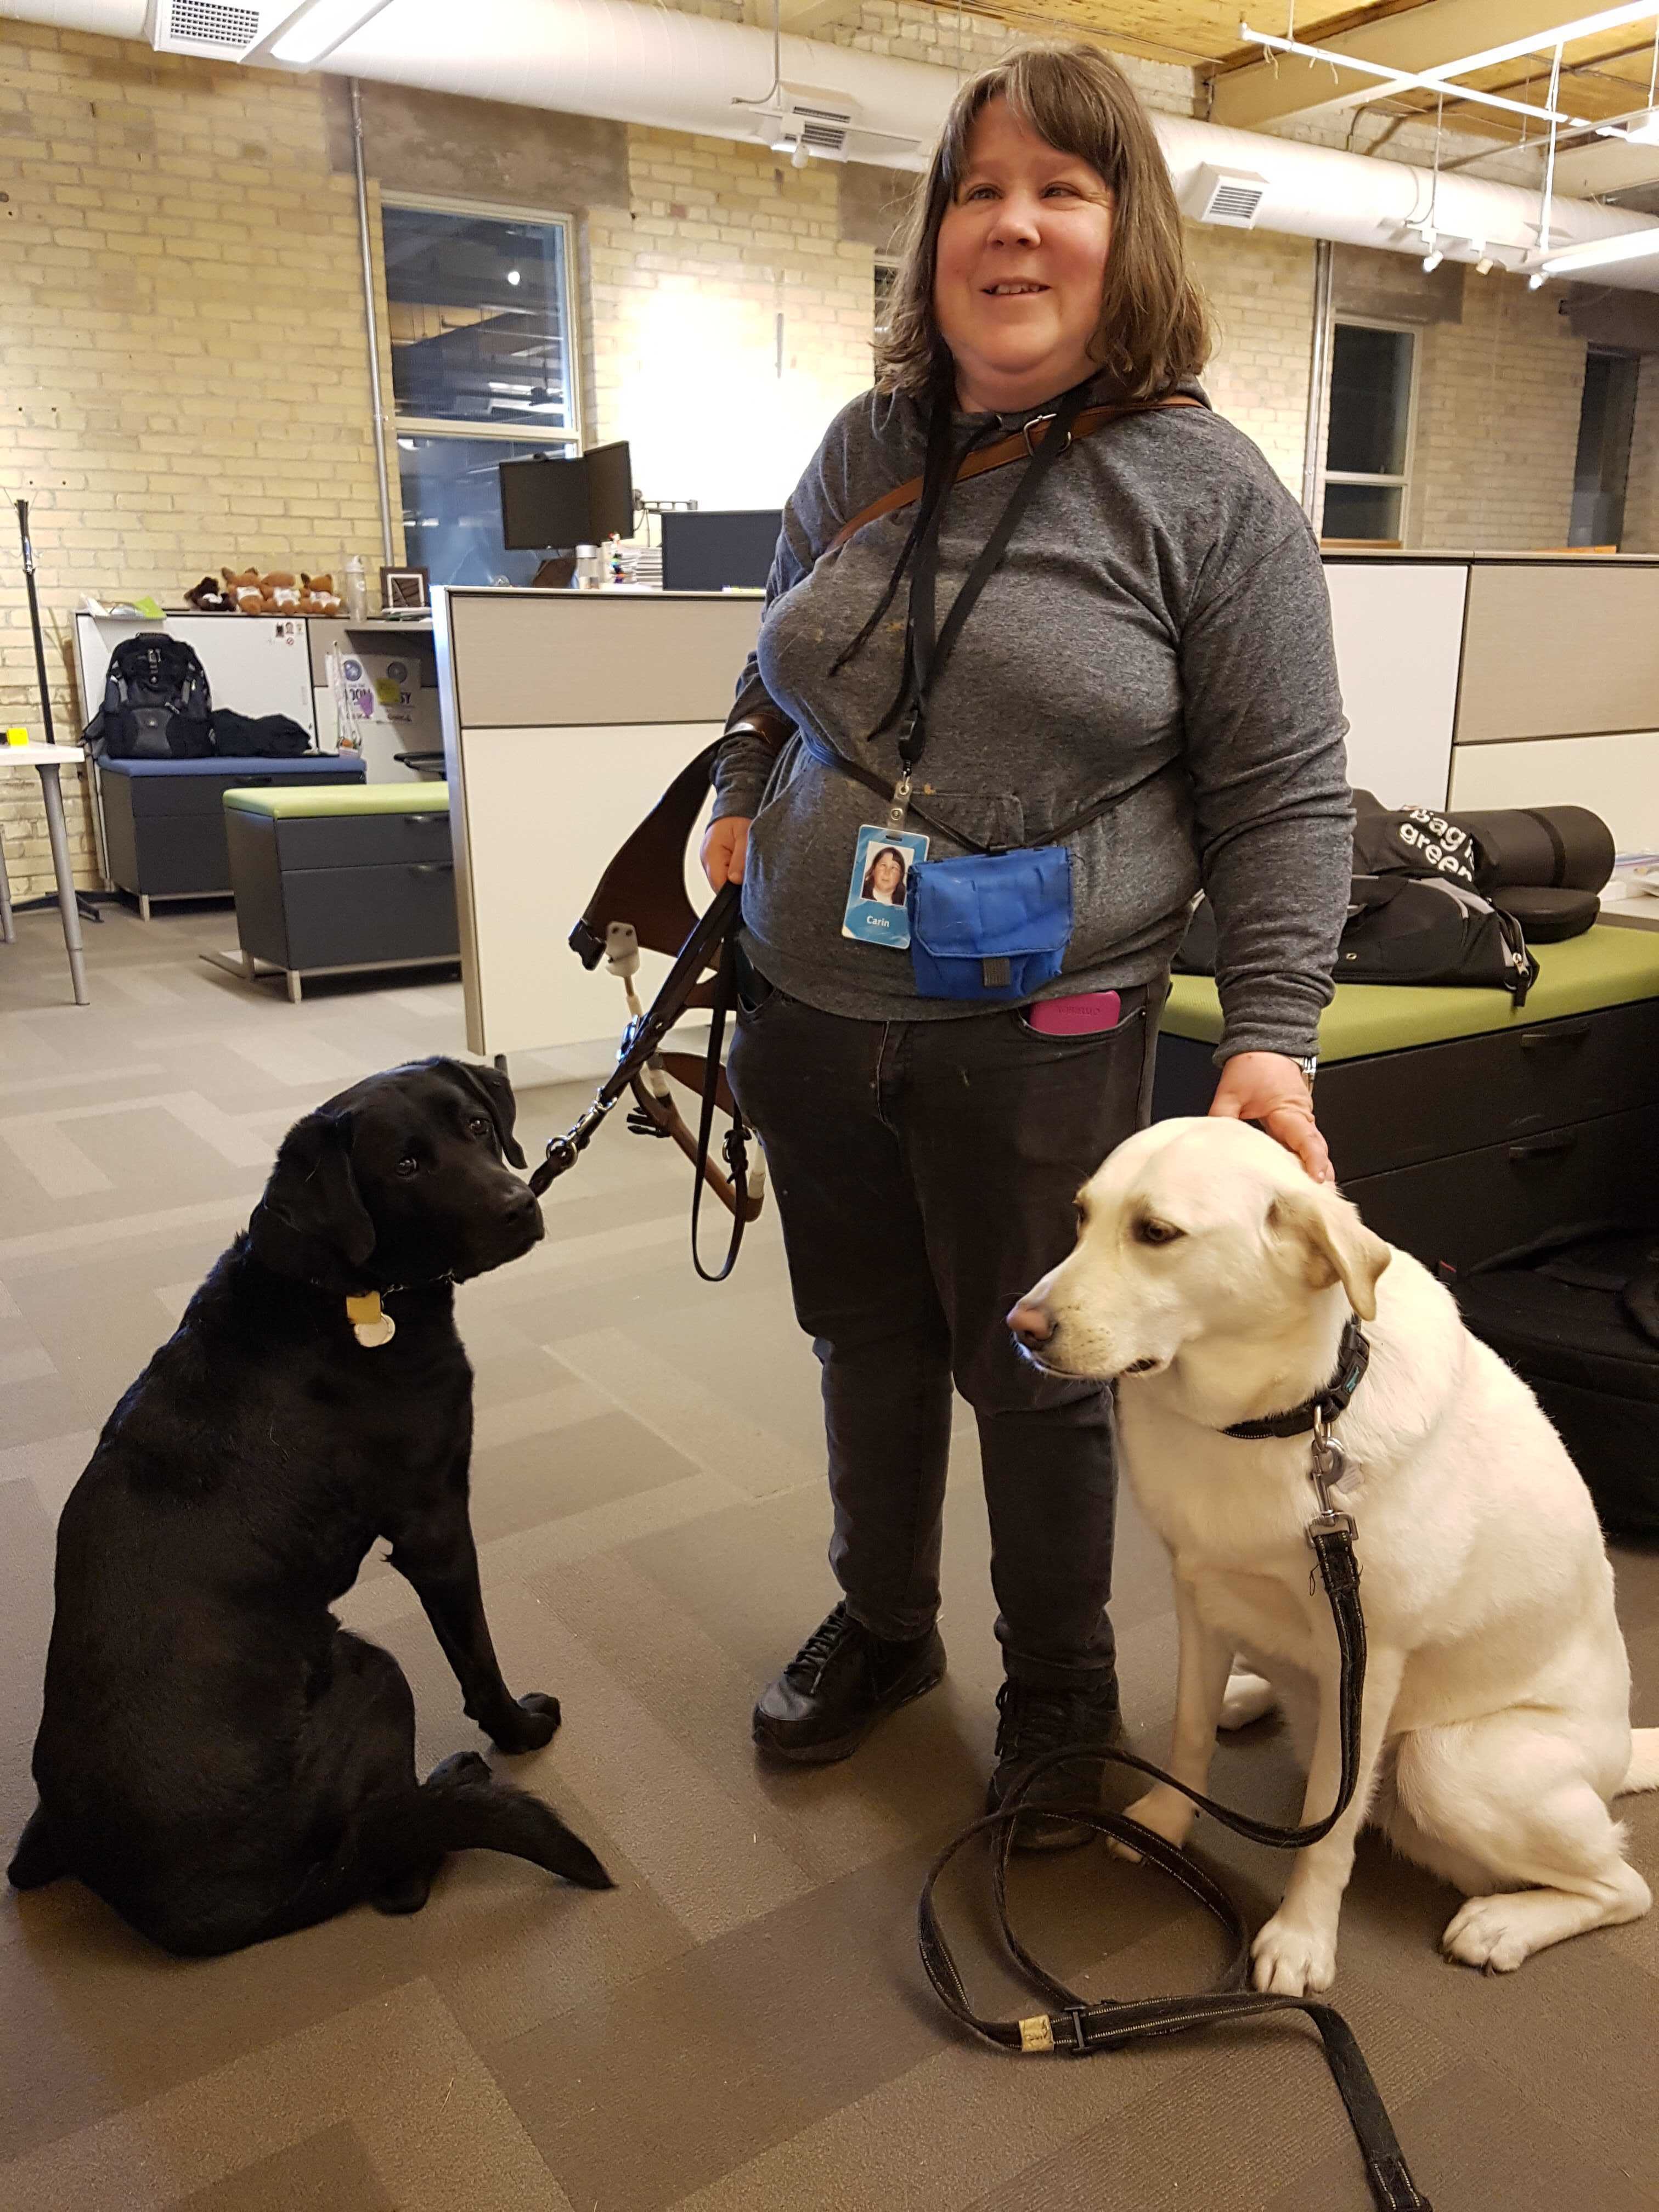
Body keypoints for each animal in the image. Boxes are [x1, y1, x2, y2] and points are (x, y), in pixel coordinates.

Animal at [7, 1057, 611, 1957]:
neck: (341, 1291)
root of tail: (194, 1913)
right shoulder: (436, 1524)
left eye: (475, 1126)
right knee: (393, 1877)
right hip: (373, 1671)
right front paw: (517, 1731)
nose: (518, 1204)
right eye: (405, 1166)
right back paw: (454, 1779)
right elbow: (477, 1658)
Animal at [1009, 1116, 1658, 1995]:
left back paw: (1503, 1924)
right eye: (1080, 1217)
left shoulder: (1369, 1664)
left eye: (1156, 1233)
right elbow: (1188, 1731)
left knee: (1623, 1886)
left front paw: (1302, 1938)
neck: (1280, 1421)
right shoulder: (1197, 1589)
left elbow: (1331, 1821)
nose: (1021, 1329)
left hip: (1447, 1765)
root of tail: (1621, 1751)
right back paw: (1250, 1693)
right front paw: (1168, 1822)